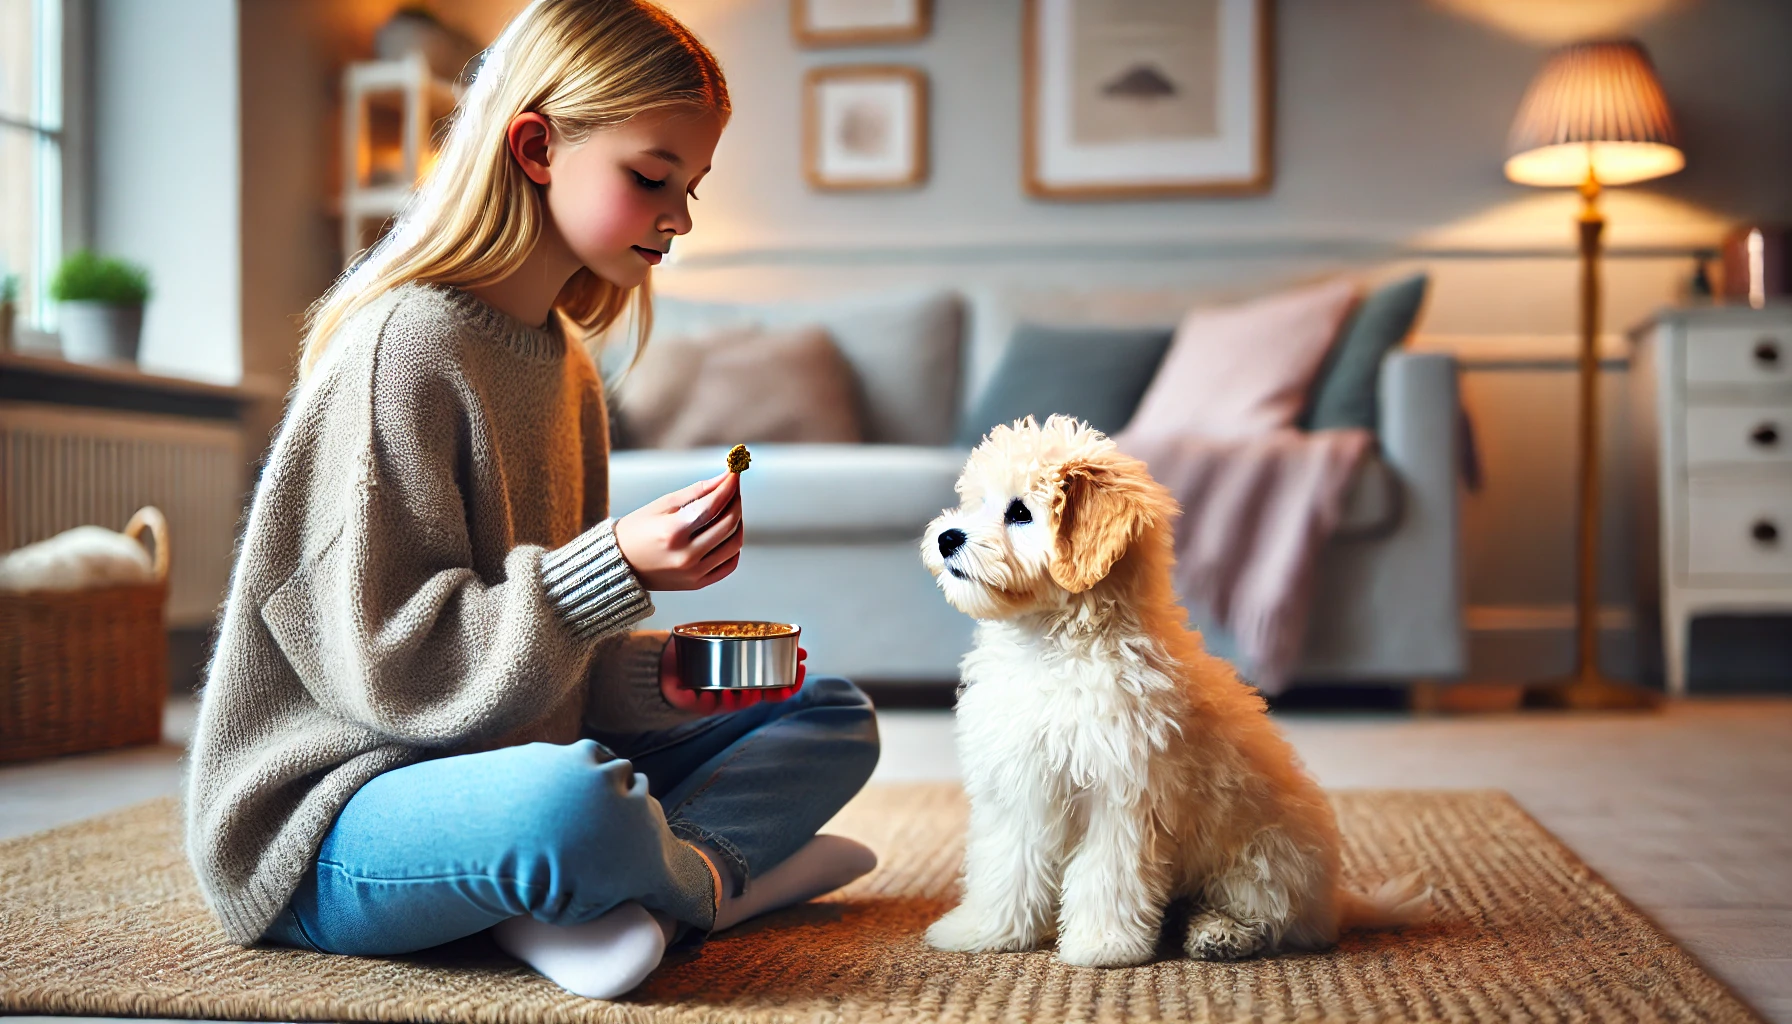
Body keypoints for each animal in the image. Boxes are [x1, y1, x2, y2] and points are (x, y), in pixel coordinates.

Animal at [924, 416, 1426, 968]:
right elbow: (1005, 866)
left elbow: (1106, 876)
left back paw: (1220, 933)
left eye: (1019, 512)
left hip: (1261, 857)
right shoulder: (1019, 788)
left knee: (1272, 918)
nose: (947, 537)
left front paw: (1102, 945)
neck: (1057, 646)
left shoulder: (1123, 796)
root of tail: (1333, 901)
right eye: (976, 502)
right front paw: (984, 931)